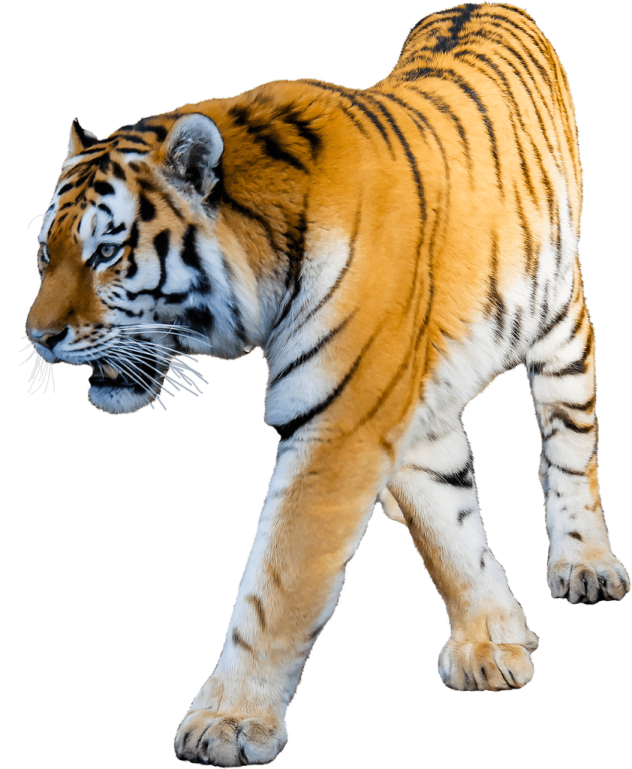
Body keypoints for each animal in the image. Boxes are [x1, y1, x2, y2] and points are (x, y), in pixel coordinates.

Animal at [25, 2, 629, 765]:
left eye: (106, 251)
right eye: (45, 252)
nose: (37, 338)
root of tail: (487, 1)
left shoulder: (340, 424)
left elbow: (278, 583)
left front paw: (229, 722)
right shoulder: (399, 407)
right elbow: (450, 528)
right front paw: (492, 639)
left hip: (560, 321)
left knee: (571, 447)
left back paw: (586, 565)